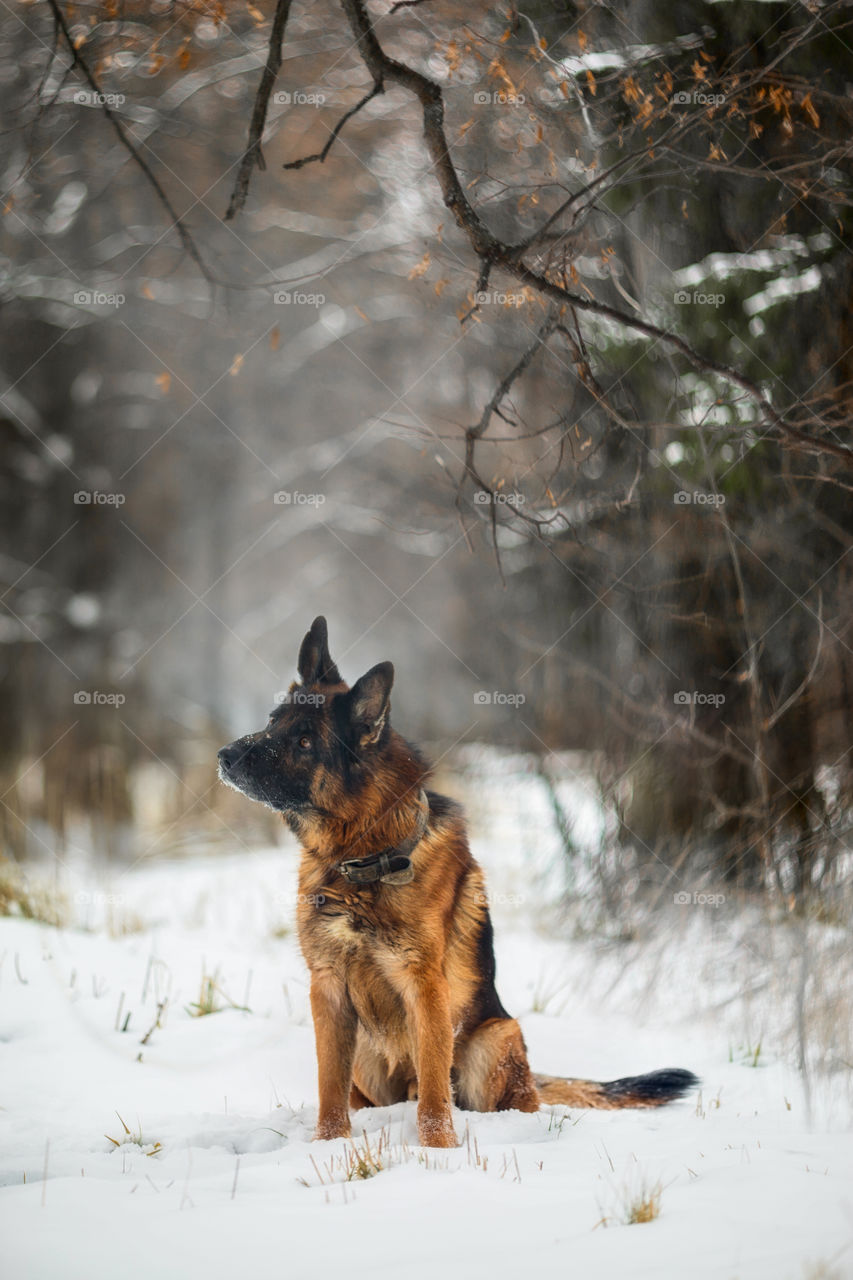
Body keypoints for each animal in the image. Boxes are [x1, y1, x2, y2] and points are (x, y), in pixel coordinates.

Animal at [216, 619, 696, 1152]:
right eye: (273, 721)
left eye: (304, 741)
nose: (225, 756)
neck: (363, 860)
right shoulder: (328, 991)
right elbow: (329, 1088)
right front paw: (329, 1144)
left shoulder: (425, 987)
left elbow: (433, 1091)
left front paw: (438, 1152)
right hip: (365, 1052)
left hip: (495, 1037)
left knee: (496, 1097)